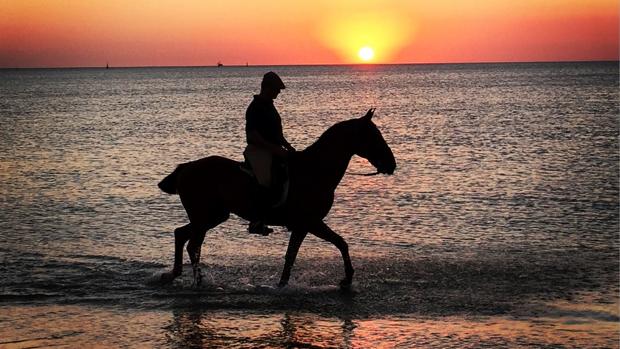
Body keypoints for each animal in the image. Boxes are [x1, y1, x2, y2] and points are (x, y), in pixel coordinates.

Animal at [157, 109, 394, 288]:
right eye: (373, 136)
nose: (391, 164)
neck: (315, 170)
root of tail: (186, 168)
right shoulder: (310, 223)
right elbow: (335, 244)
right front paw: (346, 279)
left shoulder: (303, 225)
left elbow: (296, 256)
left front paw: (284, 284)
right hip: (204, 217)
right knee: (192, 245)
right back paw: (196, 281)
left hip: (213, 216)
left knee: (182, 236)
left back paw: (176, 275)